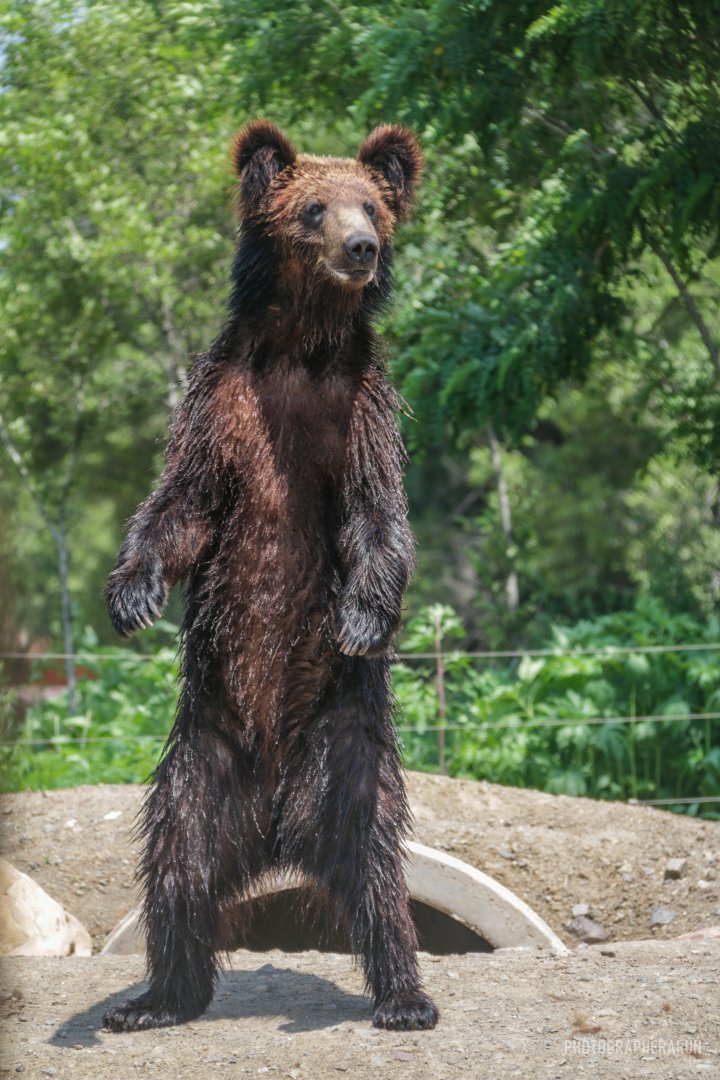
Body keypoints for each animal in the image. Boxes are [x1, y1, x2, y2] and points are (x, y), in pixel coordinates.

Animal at [103, 119, 438, 1033]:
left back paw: (404, 997)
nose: (360, 247)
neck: (301, 349)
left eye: (373, 205)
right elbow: (179, 507)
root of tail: (276, 832)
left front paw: (360, 618)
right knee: (175, 864)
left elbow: (378, 522)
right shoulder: (222, 408)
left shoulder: (358, 416)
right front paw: (131, 594)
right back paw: (155, 999)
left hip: (346, 747)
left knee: (377, 866)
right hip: (202, 759)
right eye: (314, 207)